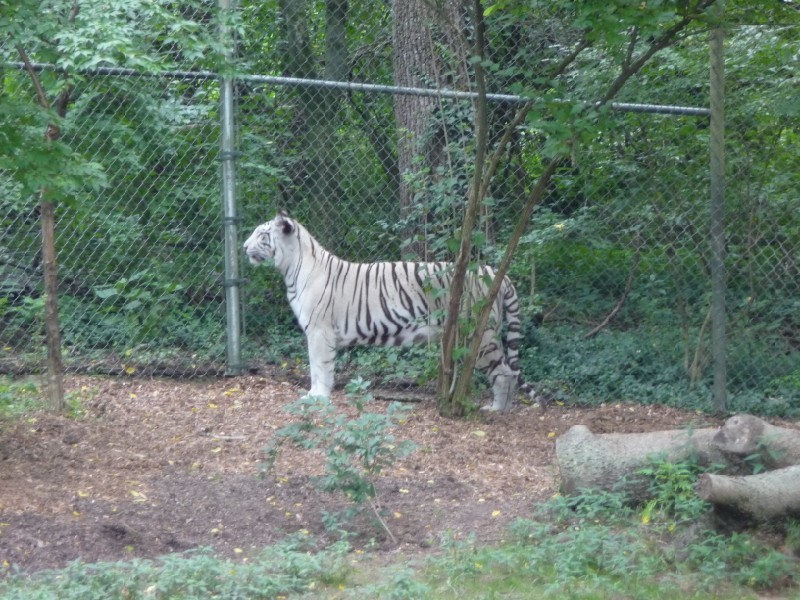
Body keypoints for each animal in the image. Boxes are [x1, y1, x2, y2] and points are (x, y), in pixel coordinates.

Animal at [243, 211, 539, 412]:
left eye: (262, 234)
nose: (244, 247)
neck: (290, 268)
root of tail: (496, 273)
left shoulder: (319, 331)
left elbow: (319, 366)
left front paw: (317, 397)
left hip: (480, 336)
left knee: (504, 373)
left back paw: (497, 409)